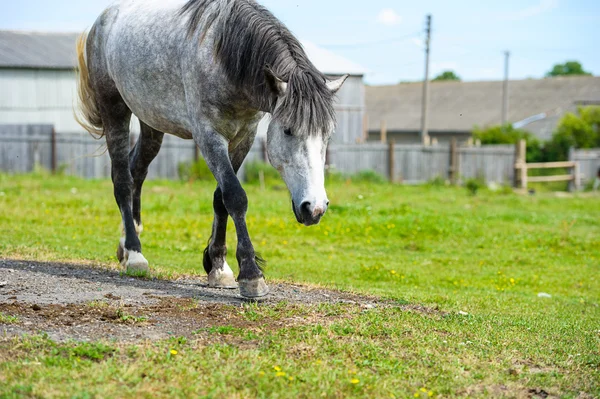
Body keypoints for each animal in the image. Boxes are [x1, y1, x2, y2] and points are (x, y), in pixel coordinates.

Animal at [74, 0, 346, 298]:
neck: (223, 54)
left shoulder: (244, 136)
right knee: (122, 179)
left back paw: (125, 244)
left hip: (151, 122)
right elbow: (235, 196)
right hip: (114, 110)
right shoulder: (208, 136)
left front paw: (217, 266)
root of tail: (104, 19)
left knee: (137, 171)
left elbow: (220, 199)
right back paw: (135, 255)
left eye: (327, 134)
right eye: (288, 130)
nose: (315, 209)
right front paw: (251, 275)